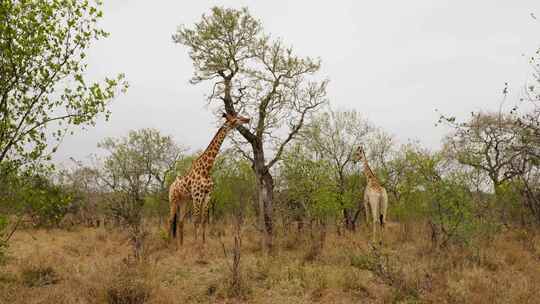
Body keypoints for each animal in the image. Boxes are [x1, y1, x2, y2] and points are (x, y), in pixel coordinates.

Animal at [168, 111, 250, 247]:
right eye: (236, 118)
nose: (248, 119)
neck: (206, 170)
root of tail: (171, 185)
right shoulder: (197, 196)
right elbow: (196, 220)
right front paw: (196, 244)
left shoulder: (207, 195)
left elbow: (203, 221)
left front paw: (203, 244)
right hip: (173, 200)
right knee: (170, 219)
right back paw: (169, 242)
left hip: (184, 201)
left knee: (180, 221)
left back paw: (181, 244)